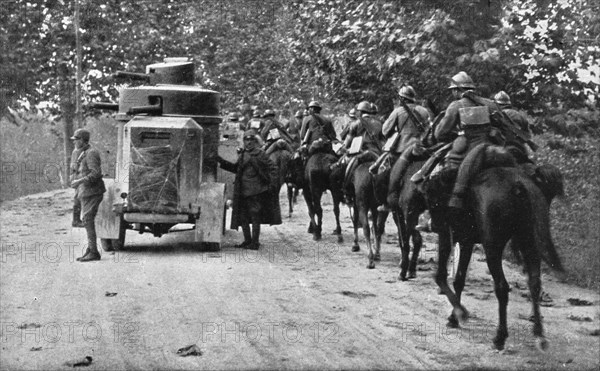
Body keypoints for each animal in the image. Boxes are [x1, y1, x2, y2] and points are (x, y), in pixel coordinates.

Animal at [424, 165, 564, 352]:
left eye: (431, 198)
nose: (432, 223)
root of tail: (519, 185)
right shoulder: (466, 240)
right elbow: (459, 279)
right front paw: (454, 317)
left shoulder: (447, 234)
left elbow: (440, 276)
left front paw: (460, 313)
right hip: (528, 242)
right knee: (534, 283)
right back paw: (539, 334)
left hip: (492, 248)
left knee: (502, 287)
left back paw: (500, 337)